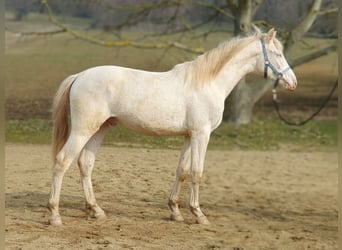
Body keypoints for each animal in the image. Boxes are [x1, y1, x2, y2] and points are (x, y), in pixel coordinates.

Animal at [47, 27, 296, 227]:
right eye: (277, 54)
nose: (292, 82)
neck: (208, 83)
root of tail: (80, 76)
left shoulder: (189, 136)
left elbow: (182, 171)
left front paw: (175, 211)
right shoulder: (201, 135)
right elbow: (197, 172)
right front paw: (198, 214)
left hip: (99, 129)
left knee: (85, 164)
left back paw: (95, 210)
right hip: (83, 130)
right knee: (62, 162)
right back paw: (55, 215)